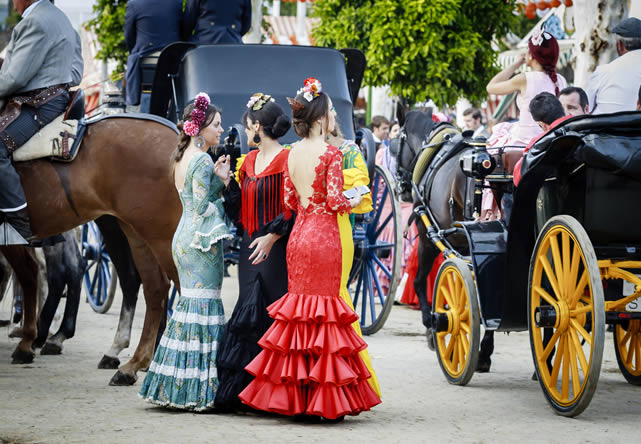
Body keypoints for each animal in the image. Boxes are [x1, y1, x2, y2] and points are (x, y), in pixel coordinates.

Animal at [5, 116, 180, 384]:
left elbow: (28, 275)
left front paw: (28, 341)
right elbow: (30, 276)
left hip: (158, 236)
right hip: (133, 231)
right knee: (153, 287)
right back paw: (131, 364)